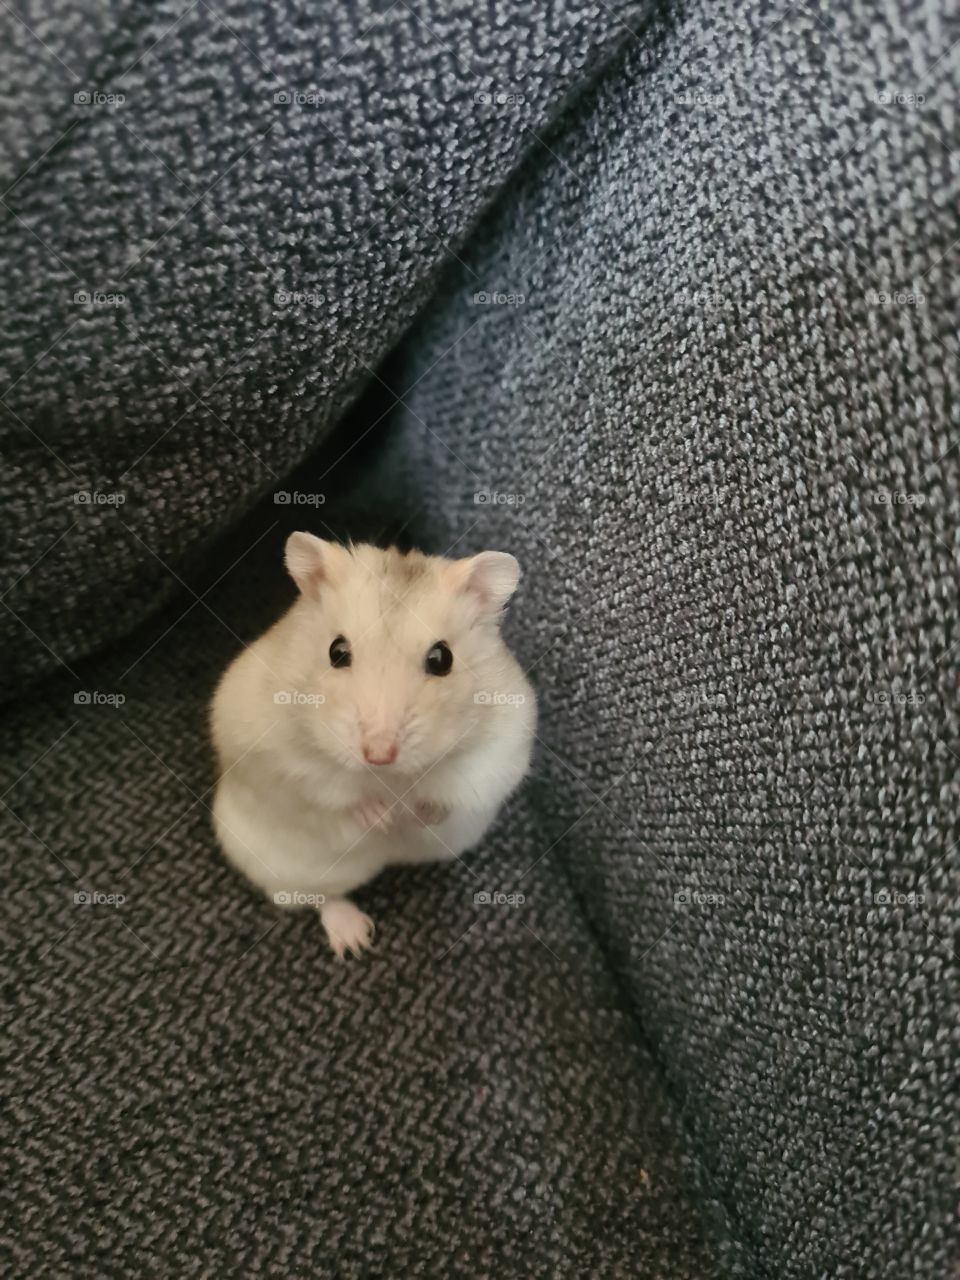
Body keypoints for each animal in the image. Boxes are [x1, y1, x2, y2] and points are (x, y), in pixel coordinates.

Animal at [209, 534, 536, 958]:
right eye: (336, 651)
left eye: (441, 658)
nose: (379, 755)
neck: (392, 778)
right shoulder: (278, 755)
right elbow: (330, 787)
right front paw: (382, 819)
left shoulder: (501, 749)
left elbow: (451, 791)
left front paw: (414, 816)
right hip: (279, 868)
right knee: (321, 898)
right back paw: (355, 941)